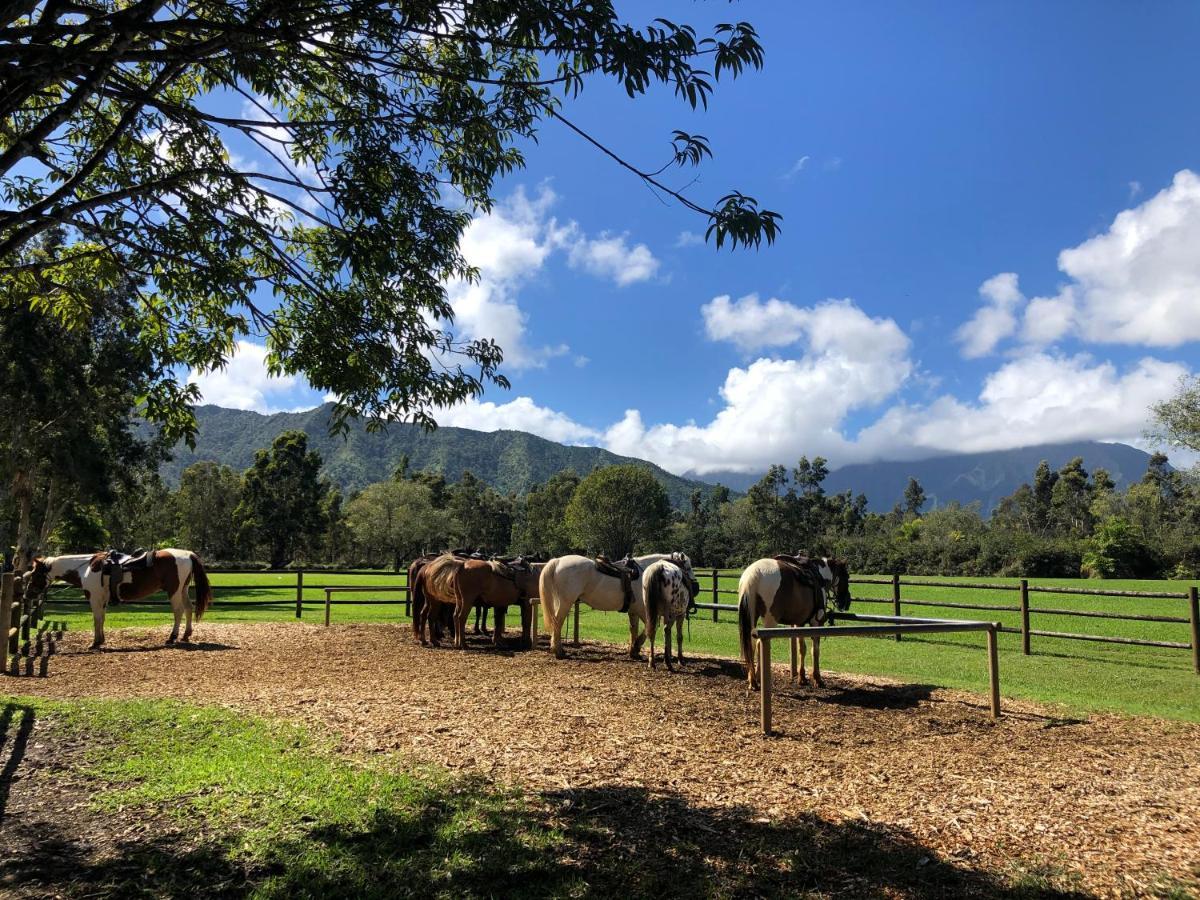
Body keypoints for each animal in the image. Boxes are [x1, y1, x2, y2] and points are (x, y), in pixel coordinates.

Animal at [24, 549, 214, 648]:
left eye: (35, 574)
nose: (28, 594)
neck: (87, 568)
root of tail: (188, 554)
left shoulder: (94, 598)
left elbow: (96, 619)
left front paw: (95, 643)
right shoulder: (102, 599)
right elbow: (102, 619)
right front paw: (101, 640)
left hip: (174, 591)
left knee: (178, 611)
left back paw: (172, 637)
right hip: (182, 590)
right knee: (188, 609)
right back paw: (186, 635)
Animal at [537, 549, 696, 662]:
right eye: (687, 566)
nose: (695, 585)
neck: (646, 574)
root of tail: (558, 561)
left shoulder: (634, 612)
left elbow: (634, 630)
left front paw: (633, 652)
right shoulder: (645, 612)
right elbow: (647, 629)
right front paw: (636, 647)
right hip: (565, 602)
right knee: (557, 623)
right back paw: (559, 651)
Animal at [729, 556, 854, 691]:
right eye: (847, 576)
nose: (846, 602)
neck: (820, 577)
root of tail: (754, 573)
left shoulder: (799, 624)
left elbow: (802, 649)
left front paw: (802, 678)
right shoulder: (816, 623)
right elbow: (815, 650)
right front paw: (817, 679)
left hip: (751, 617)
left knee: (751, 644)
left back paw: (752, 680)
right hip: (770, 621)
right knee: (759, 644)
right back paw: (757, 678)